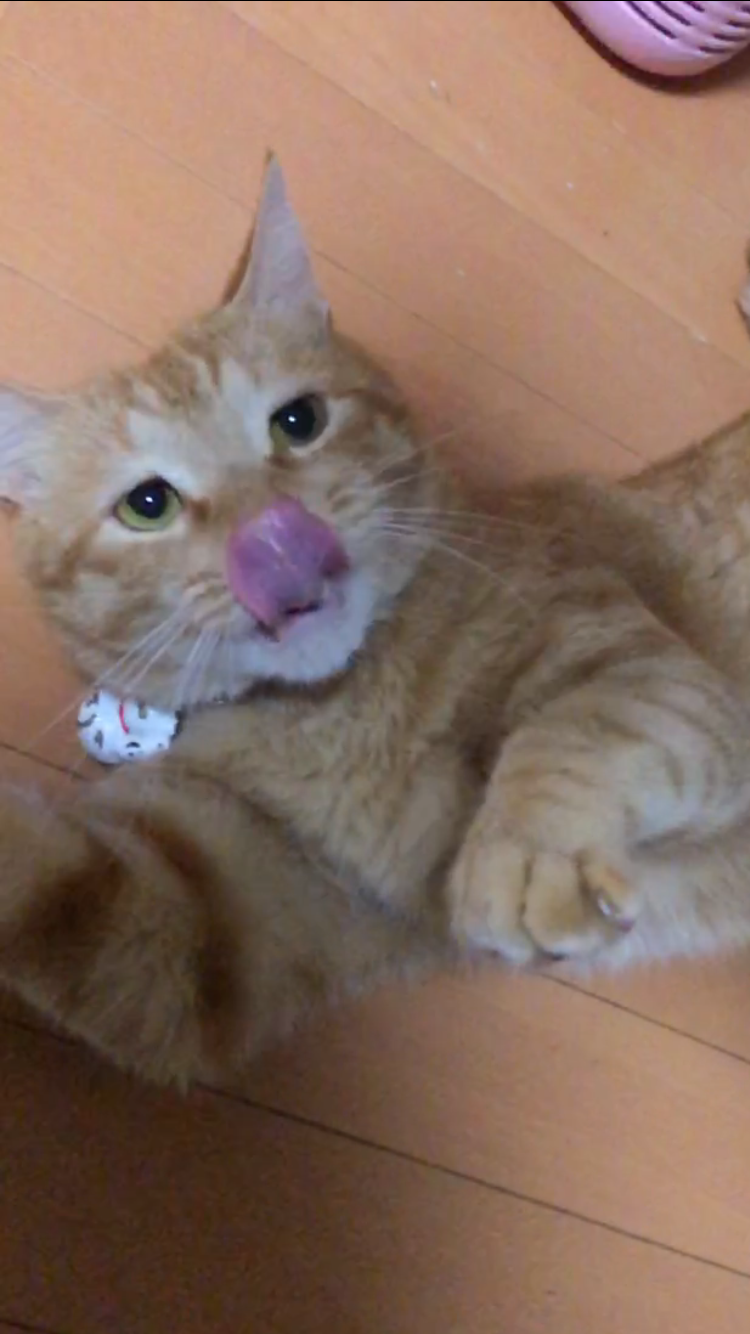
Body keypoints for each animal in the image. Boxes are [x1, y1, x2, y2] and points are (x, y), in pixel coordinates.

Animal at [1, 158, 750, 1087]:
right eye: (148, 504)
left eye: (299, 421)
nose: (274, 532)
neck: (339, 715)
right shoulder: (211, 904)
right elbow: (71, 891)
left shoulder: (636, 658)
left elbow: (576, 731)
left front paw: (523, 852)